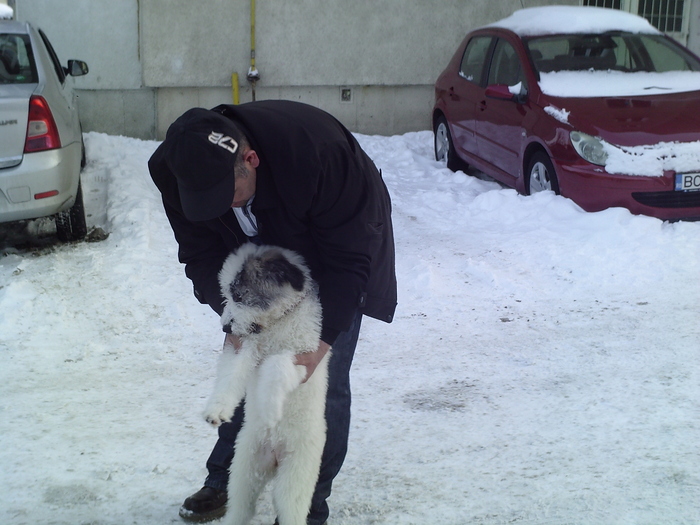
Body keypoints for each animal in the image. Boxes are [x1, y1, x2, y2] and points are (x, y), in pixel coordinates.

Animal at [202, 243, 328, 524]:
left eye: (239, 295)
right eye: (226, 294)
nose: (226, 327)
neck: (277, 323)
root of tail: (275, 456)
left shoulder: (303, 357)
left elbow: (277, 366)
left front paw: (271, 409)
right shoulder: (244, 348)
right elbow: (231, 374)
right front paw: (217, 409)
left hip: (293, 481)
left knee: (291, 511)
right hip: (244, 472)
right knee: (240, 509)